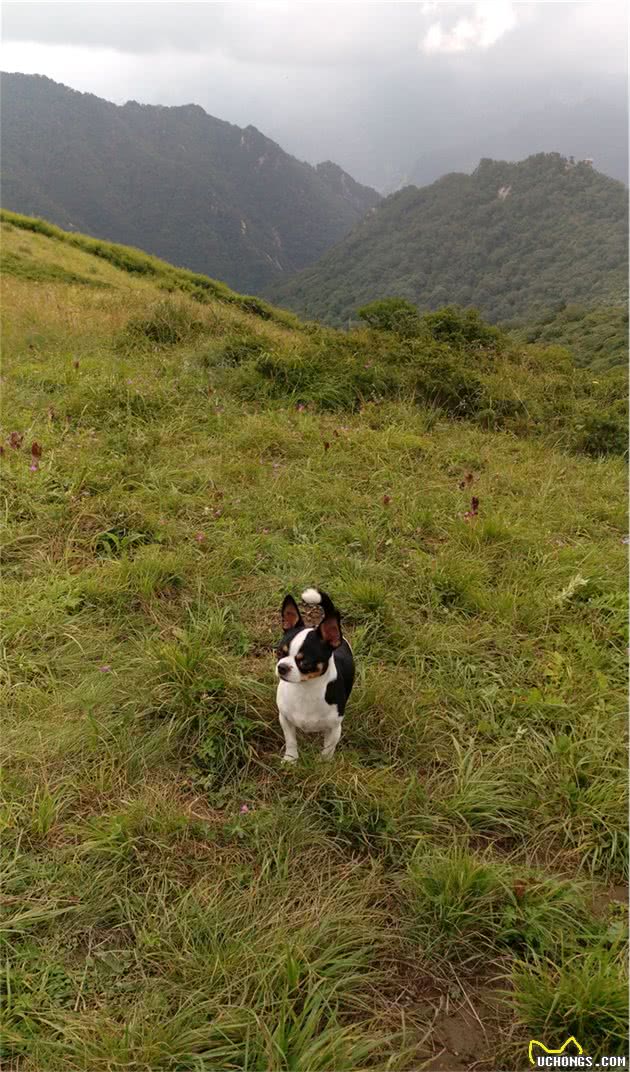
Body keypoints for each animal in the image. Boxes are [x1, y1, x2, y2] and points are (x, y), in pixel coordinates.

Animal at [276, 587, 353, 763]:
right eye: (279, 653)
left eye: (305, 663)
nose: (282, 667)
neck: (305, 688)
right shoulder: (285, 719)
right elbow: (291, 740)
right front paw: (290, 759)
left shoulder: (334, 728)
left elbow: (328, 749)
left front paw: (324, 764)